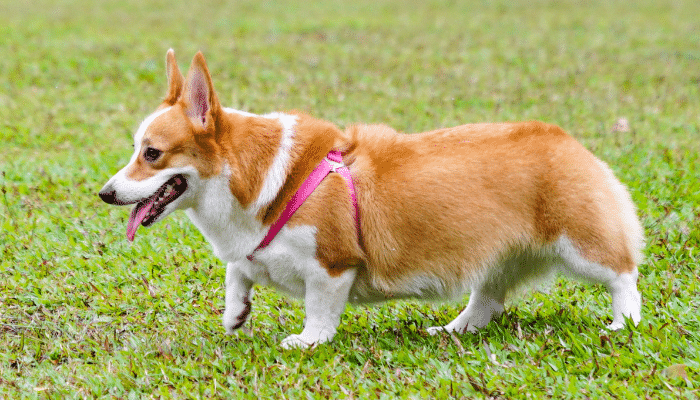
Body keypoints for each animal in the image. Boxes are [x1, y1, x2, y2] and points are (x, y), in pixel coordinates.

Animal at [100, 50, 644, 348]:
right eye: (135, 149)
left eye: (152, 153)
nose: (105, 193)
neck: (251, 175)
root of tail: (570, 141)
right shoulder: (252, 250)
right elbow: (238, 270)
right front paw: (236, 313)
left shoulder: (331, 265)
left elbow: (319, 309)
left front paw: (307, 341)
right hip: (495, 256)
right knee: (487, 296)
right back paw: (455, 330)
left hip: (581, 245)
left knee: (623, 274)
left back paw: (624, 323)